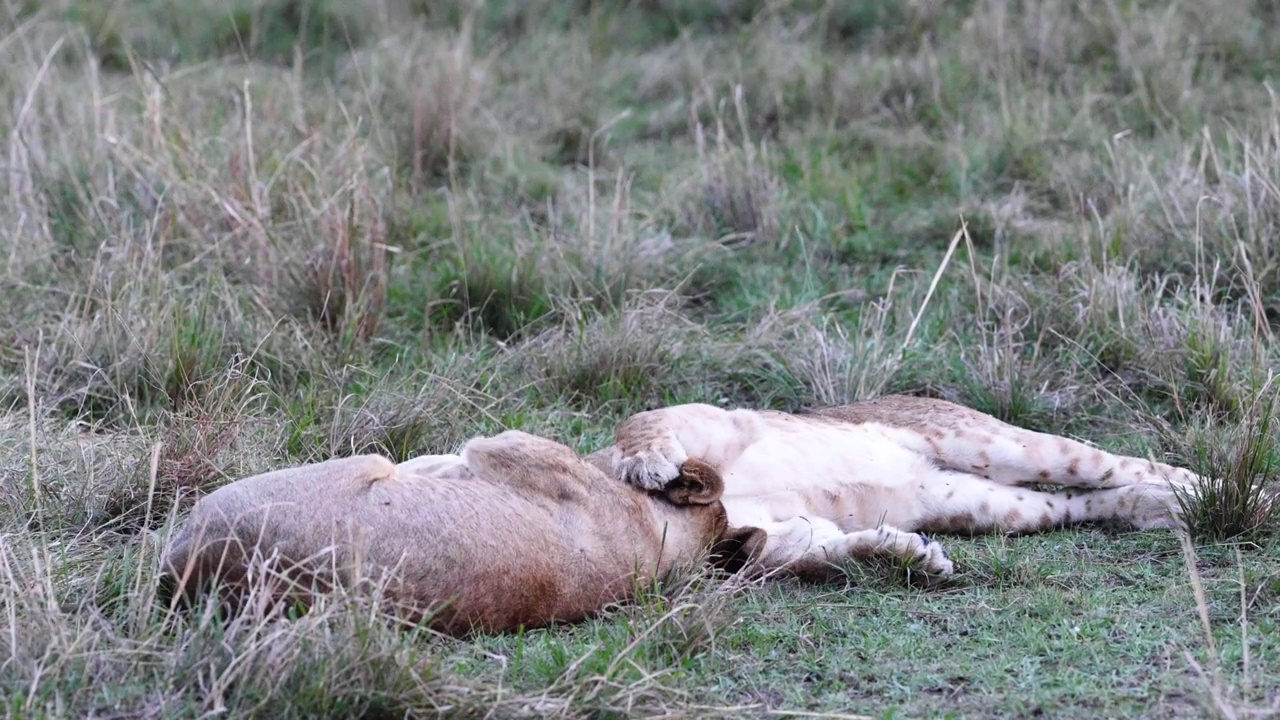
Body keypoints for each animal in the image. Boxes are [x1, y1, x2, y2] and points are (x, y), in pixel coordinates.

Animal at [593, 392, 1192, 576]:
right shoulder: (788, 536)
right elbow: (837, 552)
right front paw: (913, 557)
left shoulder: (717, 419)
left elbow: (637, 421)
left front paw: (649, 465)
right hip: (987, 504)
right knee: (1086, 500)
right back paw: (1163, 509)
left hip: (995, 444)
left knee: (1127, 464)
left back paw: (1205, 490)